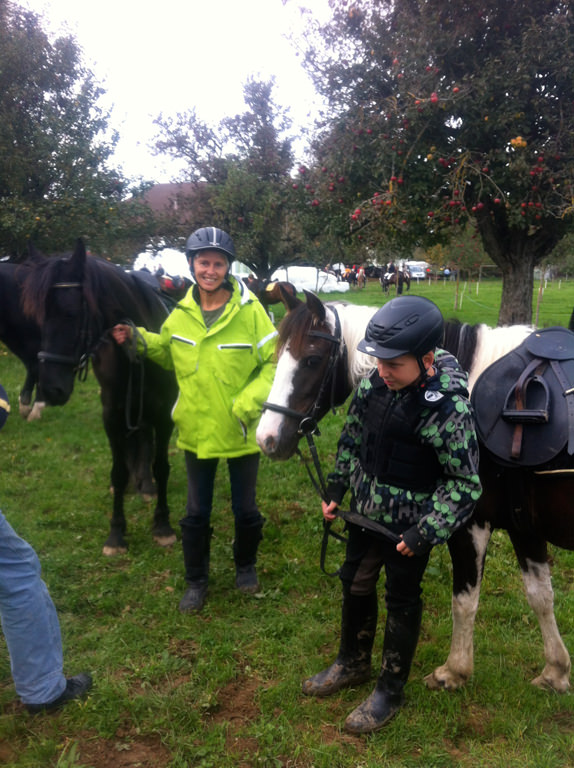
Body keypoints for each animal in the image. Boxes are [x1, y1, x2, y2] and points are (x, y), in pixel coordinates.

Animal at [21, 240, 179, 556]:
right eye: (39, 316)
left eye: (71, 313)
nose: (50, 389)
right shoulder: (113, 414)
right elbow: (118, 472)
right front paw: (116, 534)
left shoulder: (162, 414)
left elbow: (161, 466)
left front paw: (162, 525)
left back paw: (146, 486)